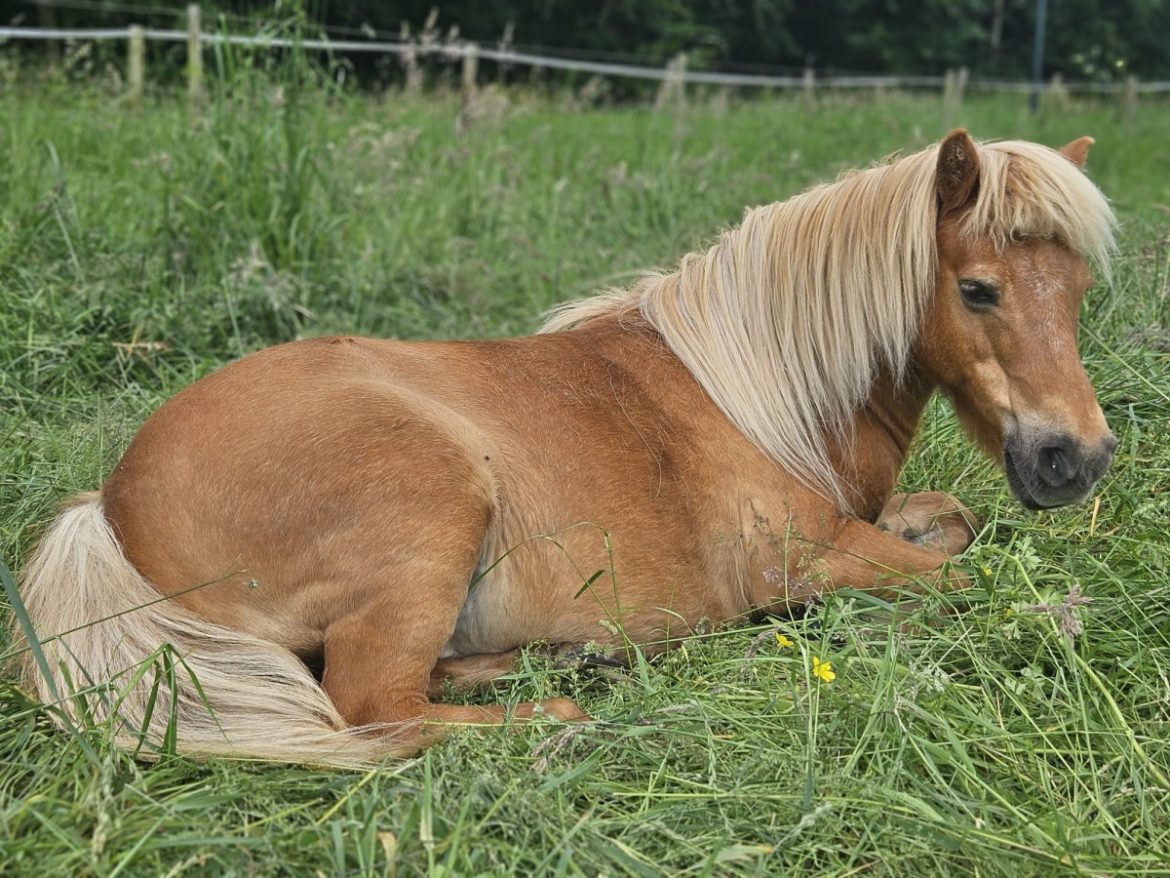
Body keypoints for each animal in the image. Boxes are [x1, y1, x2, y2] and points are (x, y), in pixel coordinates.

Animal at [16, 127, 1113, 767]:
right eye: (978, 289)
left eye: (1079, 289)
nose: (1081, 459)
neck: (763, 393)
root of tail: (109, 505)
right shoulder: (806, 553)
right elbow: (960, 578)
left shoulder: (867, 515)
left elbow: (953, 522)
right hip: (430, 509)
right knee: (375, 710)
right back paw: (560, 710)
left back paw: (553, 660)